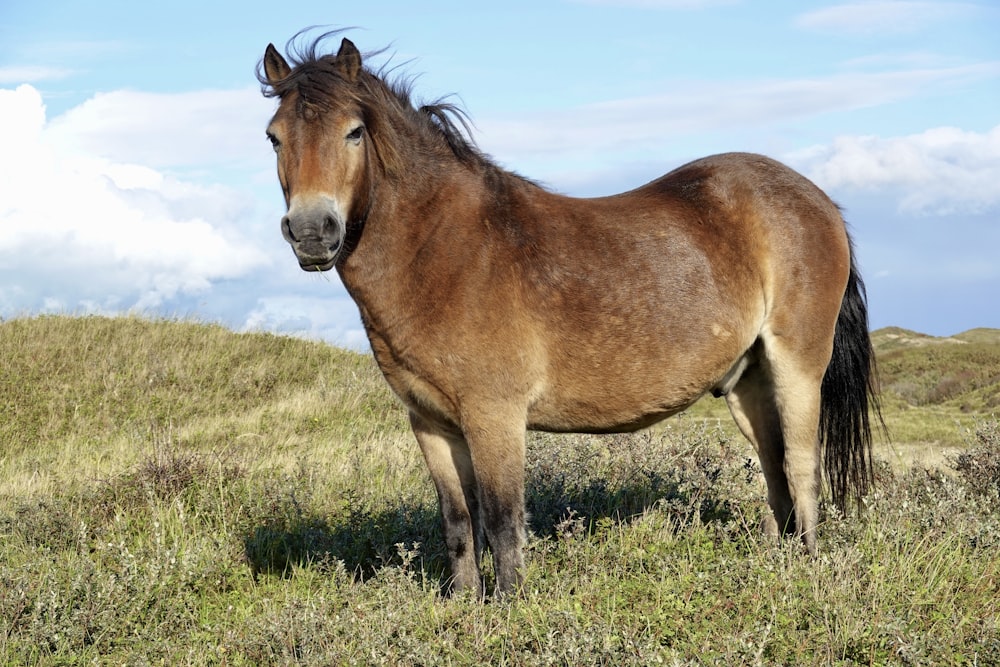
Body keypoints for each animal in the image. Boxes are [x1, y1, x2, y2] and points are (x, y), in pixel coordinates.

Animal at [260, 35, 884, 600]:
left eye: (354, 131)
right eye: (274, 137)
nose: (312, 232)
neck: (446, 250)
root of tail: (820, 201)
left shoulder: (495, 417)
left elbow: (503, 523)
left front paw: (510, 610)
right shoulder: (431, 423)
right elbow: (459, 524)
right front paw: (462, 607)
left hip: (796, 367)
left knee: (801, 468)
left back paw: (806, 575)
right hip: (745, 381)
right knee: (775, 472)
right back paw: (774, 569)